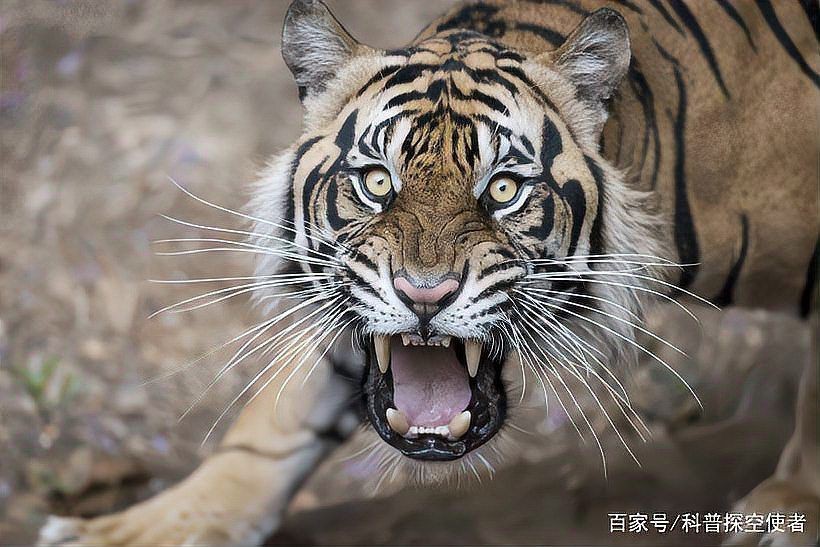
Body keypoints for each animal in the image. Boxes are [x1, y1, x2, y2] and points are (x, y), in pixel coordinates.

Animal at [39, 0, 818, 545]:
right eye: (378, 181)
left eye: (502, 189)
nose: (423, 296)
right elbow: (273, 419)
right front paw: (135, 528)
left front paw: (789, 508)